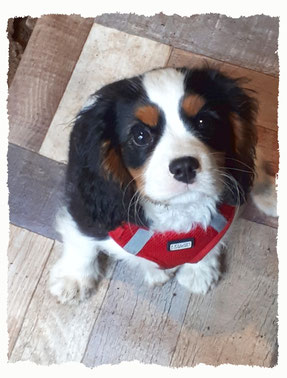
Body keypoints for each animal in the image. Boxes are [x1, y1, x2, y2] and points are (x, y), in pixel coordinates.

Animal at [49, 65, 276, 304]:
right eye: (140, 136)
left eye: (204, 123)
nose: (184, 167)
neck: (176, 211)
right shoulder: (83, 204)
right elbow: (81, 238)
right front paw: (74, 277)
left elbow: (213, 242)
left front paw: (198, 271)